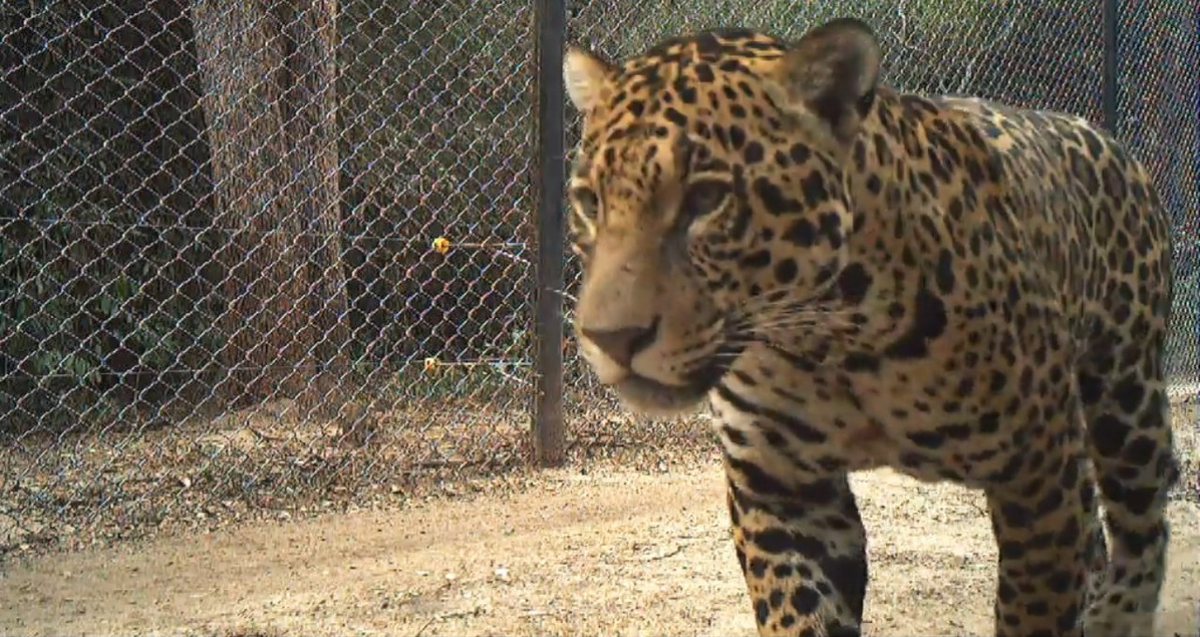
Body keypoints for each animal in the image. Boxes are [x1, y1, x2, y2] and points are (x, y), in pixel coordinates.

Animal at [561, 16, 1180, 637]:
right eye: (590, 202)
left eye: (707, 198)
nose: (609, 339)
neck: (831, 344)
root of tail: (1104, 136)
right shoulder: (782, 490)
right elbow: (799, 614)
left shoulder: (1039, 468)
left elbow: (1036, 608)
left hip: (1125, 395)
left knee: (1142, 518)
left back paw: (1117, 615)